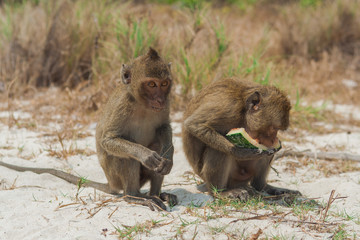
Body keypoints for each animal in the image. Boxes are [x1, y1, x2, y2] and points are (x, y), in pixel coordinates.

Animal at [0, 47, 177, 211]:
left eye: (164, 84)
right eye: (152, 84)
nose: (160, 99)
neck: (142, 104)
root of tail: (110, 183)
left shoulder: (167, 103)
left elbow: (163, 127)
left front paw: (168, 158)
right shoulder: (122, 105)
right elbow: (108, 140)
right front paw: (145, 154)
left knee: (157, 145)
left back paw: (156, 194)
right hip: (115, 176)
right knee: (126, 156)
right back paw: (134, 196)